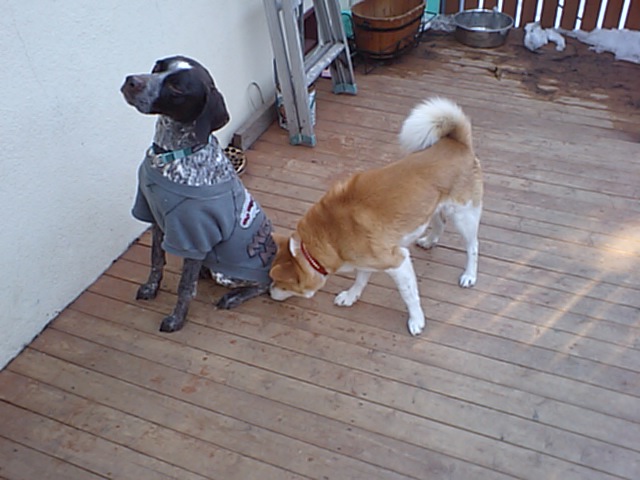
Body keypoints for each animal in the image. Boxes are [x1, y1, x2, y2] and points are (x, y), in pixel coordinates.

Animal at [121, 56, 276, 332]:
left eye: (177, 89)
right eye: (157, 67)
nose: (131, 81)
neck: (170, 154)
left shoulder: (193, 235)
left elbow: (185, 287)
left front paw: (176, 320)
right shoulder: (154, 217)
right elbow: (156, 261)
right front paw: (151, 288)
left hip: (227, 273)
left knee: (264, 284)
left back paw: (233, 296)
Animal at [269, 98, 483, 336]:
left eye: (282, 285)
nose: (268, 292)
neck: (326, 236)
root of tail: (458, 143)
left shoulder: (398, 262)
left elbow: (409, 296)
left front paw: (416, 320)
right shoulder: (366, 261)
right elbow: (360, 280)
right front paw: (351, 296)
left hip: (465, 217)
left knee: (473, 246)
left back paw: (469, 275)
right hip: (433, 207)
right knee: (439, 222)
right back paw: (430, 241)